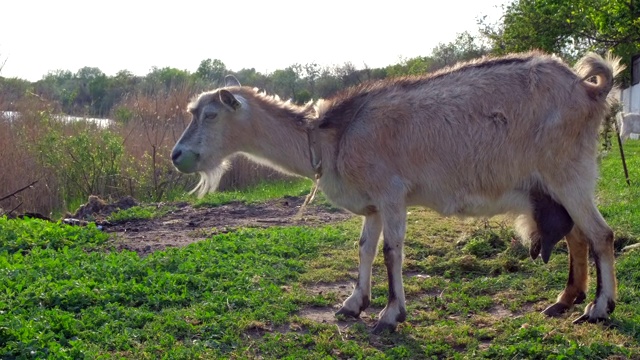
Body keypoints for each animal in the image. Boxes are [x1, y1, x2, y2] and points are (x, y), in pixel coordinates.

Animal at [172, 50, 624, 332]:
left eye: (210, 115)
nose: (177, 155)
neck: (330, 137)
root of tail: (590, 89)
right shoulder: (373, 204)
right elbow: (364, 249)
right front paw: (353, 304)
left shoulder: (391, 194)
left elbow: (392, 252)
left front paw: (390, 315)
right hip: (556, 185)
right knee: (577, 237)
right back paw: (564, 301)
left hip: (568, 173)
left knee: (601, 235)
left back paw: (598, 309)